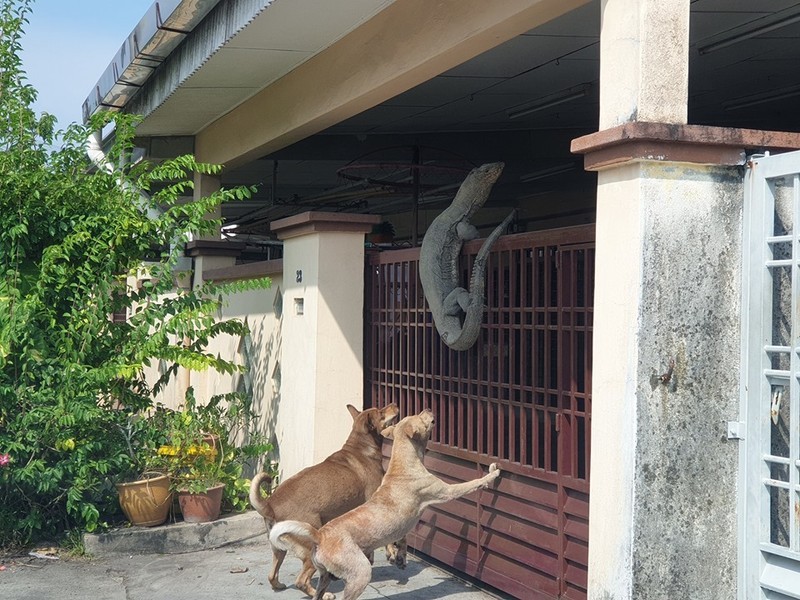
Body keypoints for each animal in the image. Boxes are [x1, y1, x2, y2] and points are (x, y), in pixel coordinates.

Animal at [250, 404, 400, 600]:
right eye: (381, 413)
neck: (360, 446)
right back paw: (324, 594)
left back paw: (280, 585)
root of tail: (270, 505)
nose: (395, 405)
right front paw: (391, 552)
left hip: (278, 548)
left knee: (272, 575)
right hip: (309, 551)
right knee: (301, 581)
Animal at [270, 410, 500, 600]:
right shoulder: (443, 491)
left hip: (326, 576)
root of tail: (319, 535)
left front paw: (400, 559)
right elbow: (470, 485)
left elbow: (403, 540)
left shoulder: (404, 525)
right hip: (360, 573)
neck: (402, 463)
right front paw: (492, 474)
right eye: (419, 417)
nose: (428, 408)